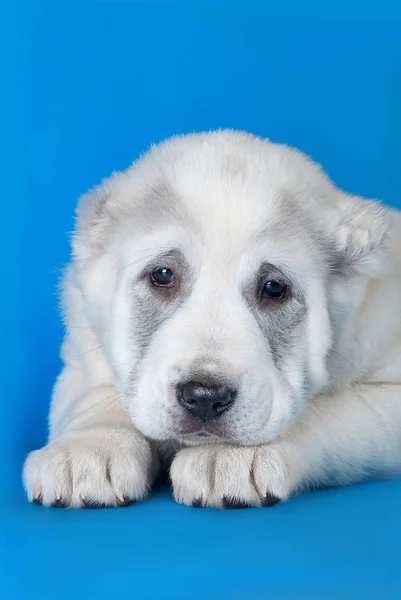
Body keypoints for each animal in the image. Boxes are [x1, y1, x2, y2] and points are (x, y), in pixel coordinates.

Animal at [23, 130, 400, 506]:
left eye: (274, 287)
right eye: (162, 275)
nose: (205, 396)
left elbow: (323, 411)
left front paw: (232, 455)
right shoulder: (82, 351)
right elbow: (98, 393)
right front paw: (90, 448)